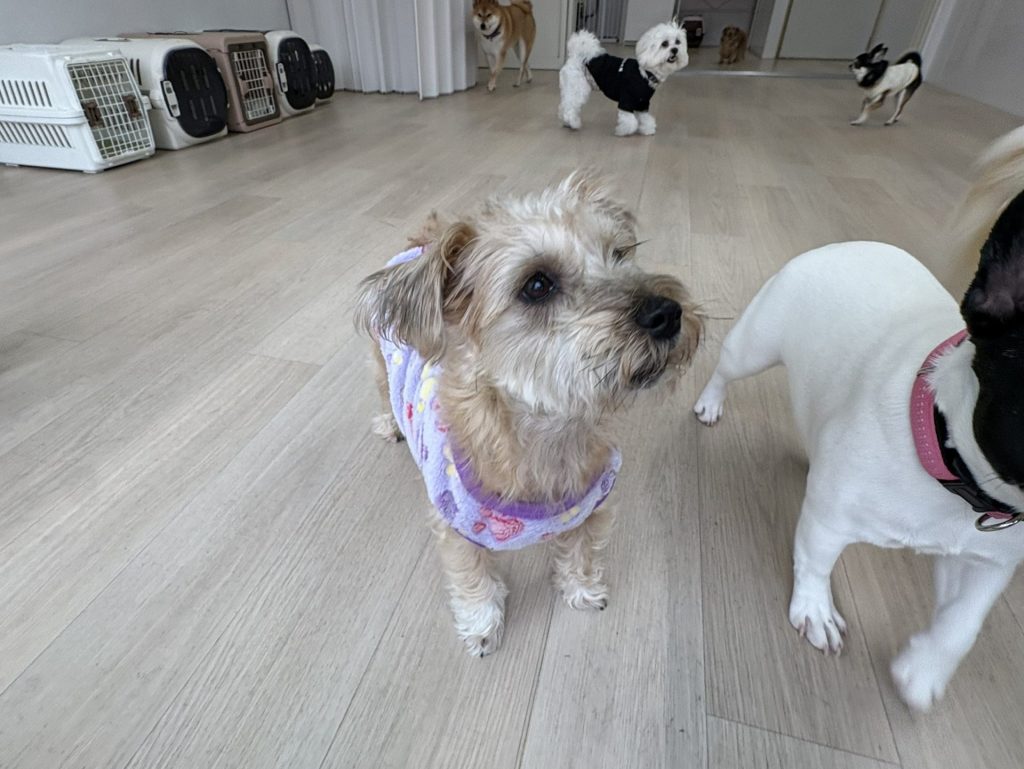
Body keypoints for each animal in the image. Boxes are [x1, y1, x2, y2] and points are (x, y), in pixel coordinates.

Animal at [356, 173, 701, 656]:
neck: (547, 431)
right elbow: (474, 579)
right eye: (537, 285)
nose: (667, 312)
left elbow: (582, 553)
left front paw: (583, 590)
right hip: (379, 361)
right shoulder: (457, 531)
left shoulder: (594, 507)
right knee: (381, 391)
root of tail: (421, 243)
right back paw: (391, 424)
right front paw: (482, 625)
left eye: (620, 253)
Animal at [558, 23, 688, 137]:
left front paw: (647, 129)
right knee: (569, 107)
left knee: (565, 104)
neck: (646, 72)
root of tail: (577, 56)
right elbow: (630, 121)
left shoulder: (643, 103)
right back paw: (573, 123)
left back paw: (567, 122)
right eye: (665, 44)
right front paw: (623, 131)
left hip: (571, 88)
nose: (675, 49)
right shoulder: (627, 99)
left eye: (678, 42)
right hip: (578, 88)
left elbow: (646, 119)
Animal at [693, 125, 1024, 711]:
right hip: (754, 344)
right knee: (726, 369)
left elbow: (963, 623)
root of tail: (848, 245)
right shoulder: (830, 520)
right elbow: (815, 559)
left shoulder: (986, 561)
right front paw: (815, 609)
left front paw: (924, 669)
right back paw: (711, 402)